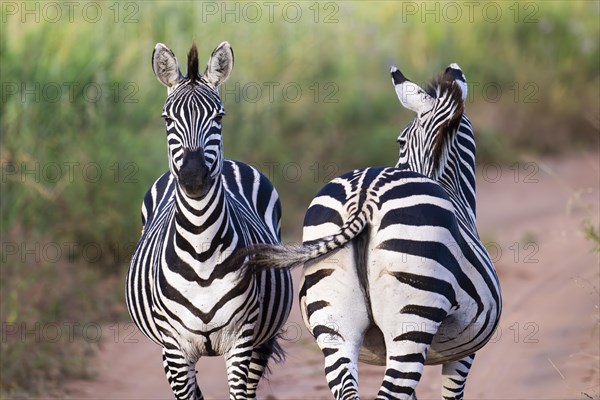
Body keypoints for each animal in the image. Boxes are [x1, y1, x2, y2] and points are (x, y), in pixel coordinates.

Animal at [125, 42, 294, 398]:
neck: (201, 245)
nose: (193, 177)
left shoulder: (241, 340)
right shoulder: (175, 349)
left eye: (219, 116)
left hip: (262, 339)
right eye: (167, 118)